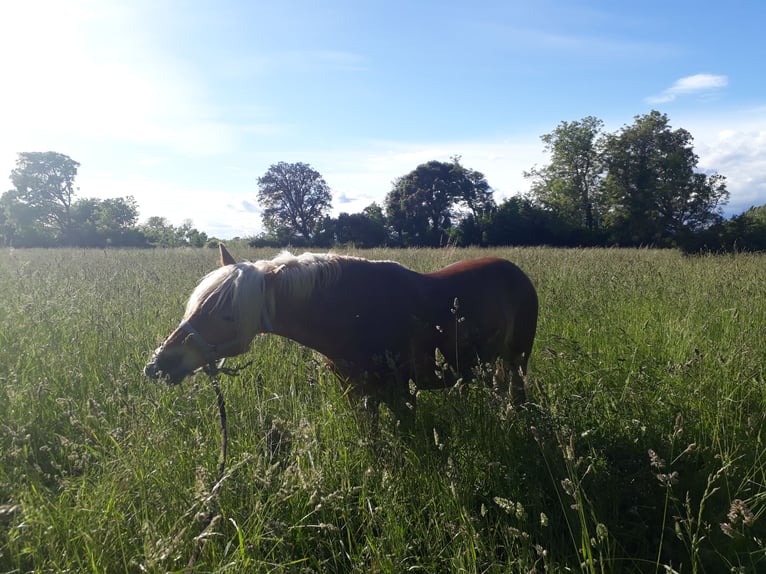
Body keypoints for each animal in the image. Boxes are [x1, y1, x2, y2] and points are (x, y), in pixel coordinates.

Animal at [144, 246, 540, 424]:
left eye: (227, 315)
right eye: (194, 308)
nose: (159, 364)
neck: (354, 315)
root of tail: (515, 270)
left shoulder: (400, 393)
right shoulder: (355, 393)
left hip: (518, 360)